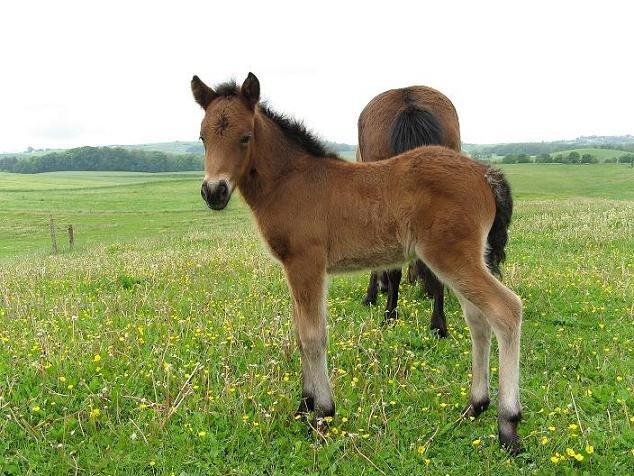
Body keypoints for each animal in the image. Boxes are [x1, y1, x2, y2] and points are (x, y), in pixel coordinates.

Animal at [190, 73, 520, 454]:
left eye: (245, 137)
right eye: (203, 137)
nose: (214, 192)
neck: (292, 181)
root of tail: (483, 172)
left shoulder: (306, 264)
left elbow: (313, 336)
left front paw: (322, 415)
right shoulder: (294, 268)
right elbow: (300, 333)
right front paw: (303, 406)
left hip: (452, 257)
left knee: (507, 311)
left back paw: (508, 426)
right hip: (463, 260)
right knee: (478, 321)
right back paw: (474, 406)